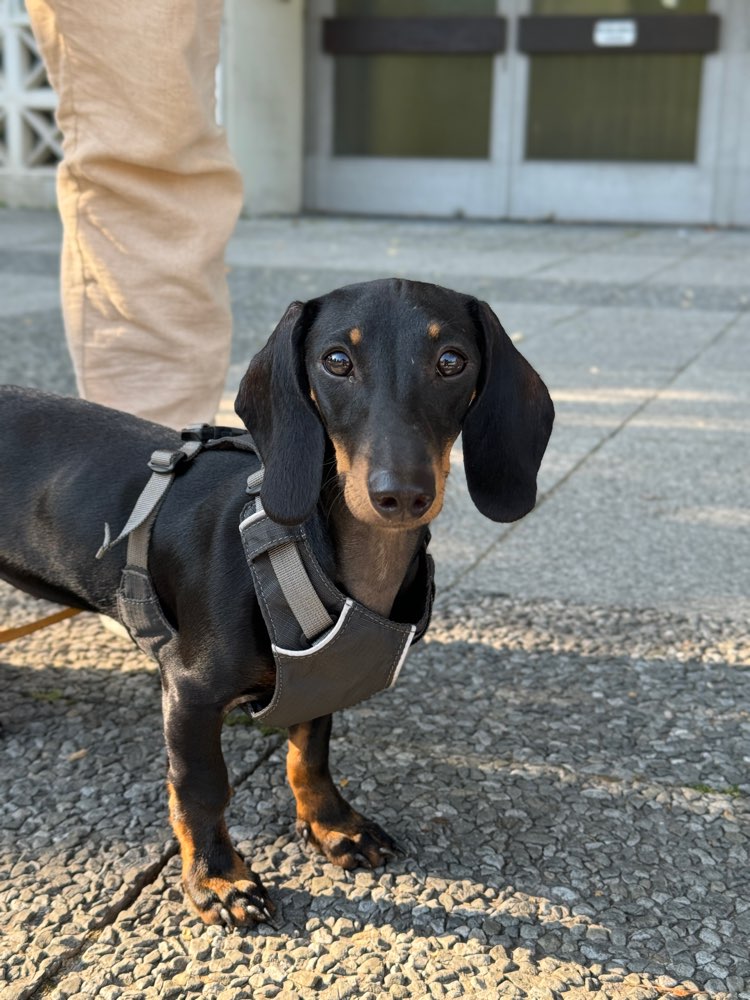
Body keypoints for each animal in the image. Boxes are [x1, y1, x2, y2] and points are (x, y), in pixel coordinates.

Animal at [0, 278, 552, 924]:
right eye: (336, 360)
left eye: (452, 361)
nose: (401, 495)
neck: (319, 554)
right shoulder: (188, 691)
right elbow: (202, 788)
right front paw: (217, 878)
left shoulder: (321, 677)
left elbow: (308, 757)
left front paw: (333, 826)